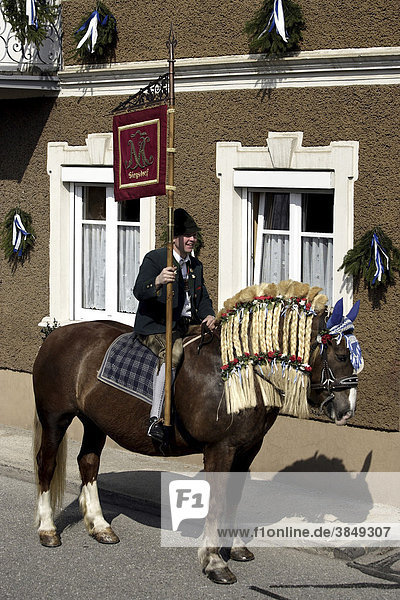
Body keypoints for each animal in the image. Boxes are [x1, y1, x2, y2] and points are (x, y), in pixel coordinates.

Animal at [32, 284, 360, 584]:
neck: (235, 374)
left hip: (94, 422)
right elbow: (216, 500)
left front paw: (235, 547)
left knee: (88, 463)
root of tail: (56, 335)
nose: (347, 410)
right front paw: (214, 561)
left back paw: (100, 526)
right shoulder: (220, 448)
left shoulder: (248, 448)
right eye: (342, 355)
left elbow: (234, 497)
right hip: (55, 419)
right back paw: (47, 529)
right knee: (46, 464)